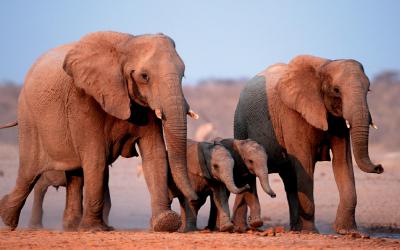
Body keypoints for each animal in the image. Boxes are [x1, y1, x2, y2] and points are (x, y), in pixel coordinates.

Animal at [0, 31, 199, 232]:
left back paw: (72, 227)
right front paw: (93, 229)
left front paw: (165, 222)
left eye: (183, 74)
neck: (128, 43)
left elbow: (154, 154)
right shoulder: (83, 99)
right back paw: (8, 218)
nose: (193, 197)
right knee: (29, 171)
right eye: (145, 76)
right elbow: (96, 157)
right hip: (29, 117)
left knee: (75, 173)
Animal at [234, 54, 384, 234]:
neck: (325, 65)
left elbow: (342, 162)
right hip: (240, 123)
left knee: (289, 179)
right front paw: (311, 232)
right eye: (336, 90)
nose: (380, 167)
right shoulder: (291, 113)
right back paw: (242, 228)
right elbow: (304, 162)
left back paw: (294, 229)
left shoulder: (338, 122)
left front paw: (349, 232)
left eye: (368, 90)